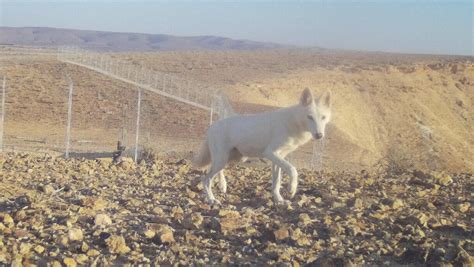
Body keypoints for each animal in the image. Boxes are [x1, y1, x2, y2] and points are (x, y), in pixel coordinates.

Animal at [191, 89, 332, 206]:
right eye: (310, 117)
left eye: (323, 117)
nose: (319, 135)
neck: (292, 123)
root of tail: (211, 127)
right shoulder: (270, 153)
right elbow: (293, 170)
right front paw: (292, 189)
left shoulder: (279, 157)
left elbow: (276, 182)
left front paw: (279, 200)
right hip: (222, 159)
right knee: (205, 179)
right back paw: (211, 199)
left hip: (231, 159)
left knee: (213, 171)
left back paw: (222, 186)